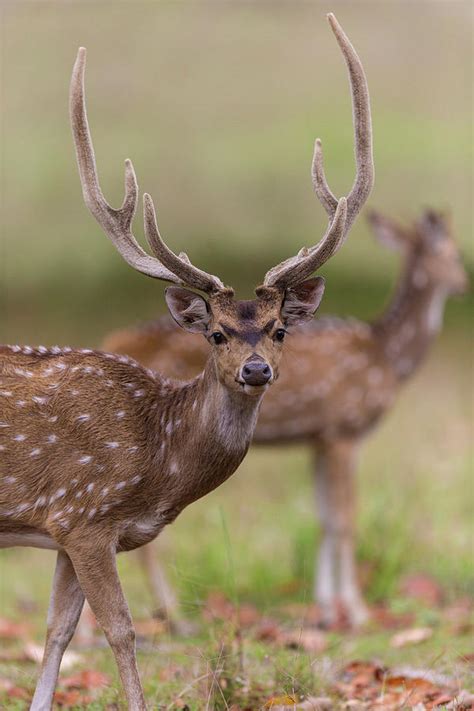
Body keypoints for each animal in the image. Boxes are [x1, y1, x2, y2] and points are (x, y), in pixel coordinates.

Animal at [0, 12, 372, 711]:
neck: (159, 458)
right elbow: (121, 630)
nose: (256, 370)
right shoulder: (85, 514)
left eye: (280, 329)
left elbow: (58, 631)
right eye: (217, 334)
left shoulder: (65, 529)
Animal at [99, 209, 466, 632]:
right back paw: (176, 619)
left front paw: (326, 610)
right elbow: (345, 518)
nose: (464, 283)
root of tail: (110, 342)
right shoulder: (344, 428)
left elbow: (323, 518)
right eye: (454, 254)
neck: (388, 357)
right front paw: (357, 612)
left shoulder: (318, 438)